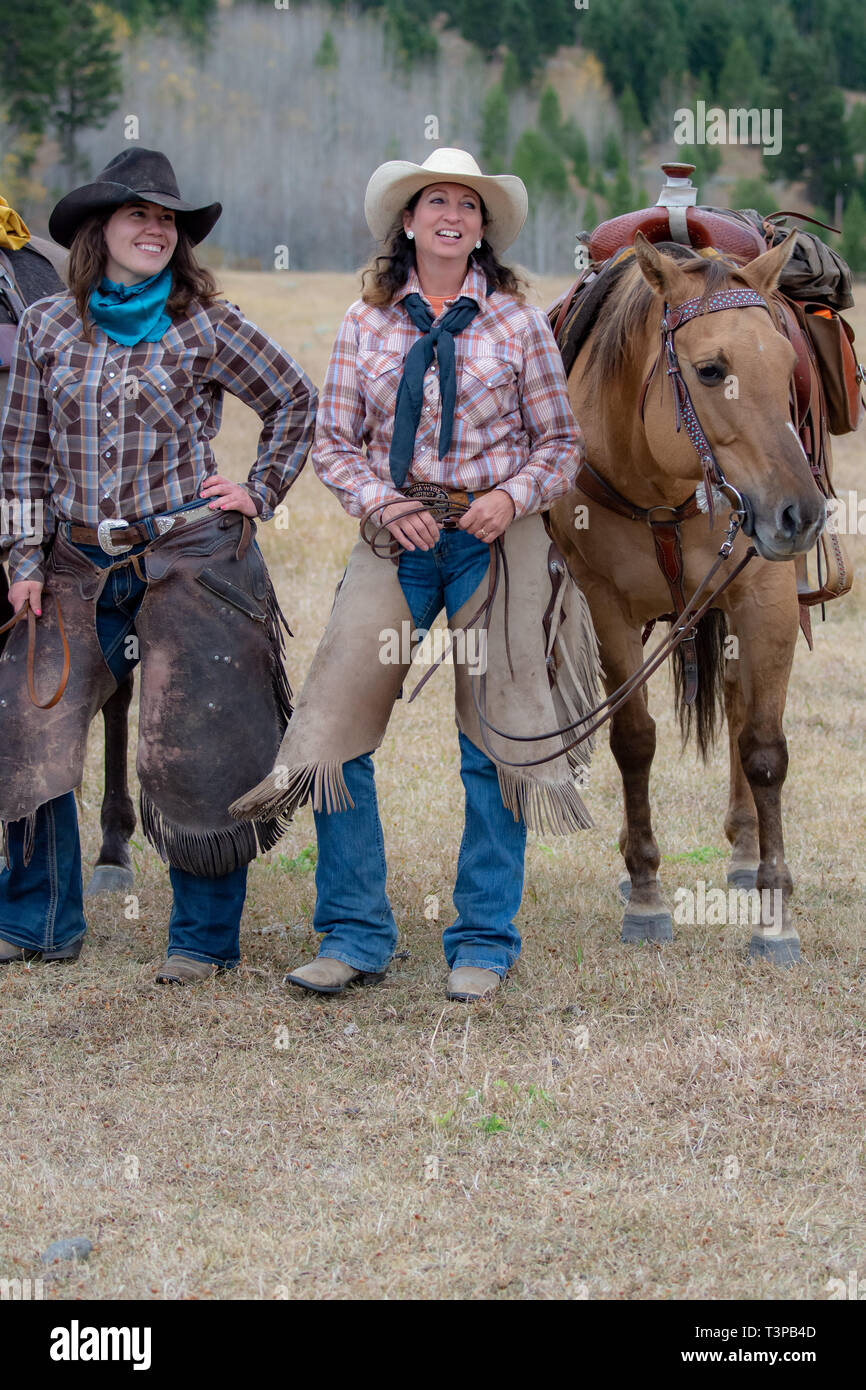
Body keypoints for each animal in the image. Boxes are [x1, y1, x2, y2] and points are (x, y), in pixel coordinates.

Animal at [547, 230, 828, 967]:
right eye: (709, 369)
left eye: (787, 362)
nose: (802, 515)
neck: (660, 482)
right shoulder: (608, 605)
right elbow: (634, 739)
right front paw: (646, 891)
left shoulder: (764, 594)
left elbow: (764, 746)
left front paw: (775, 912)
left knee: (737, 703)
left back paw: (745, 849)